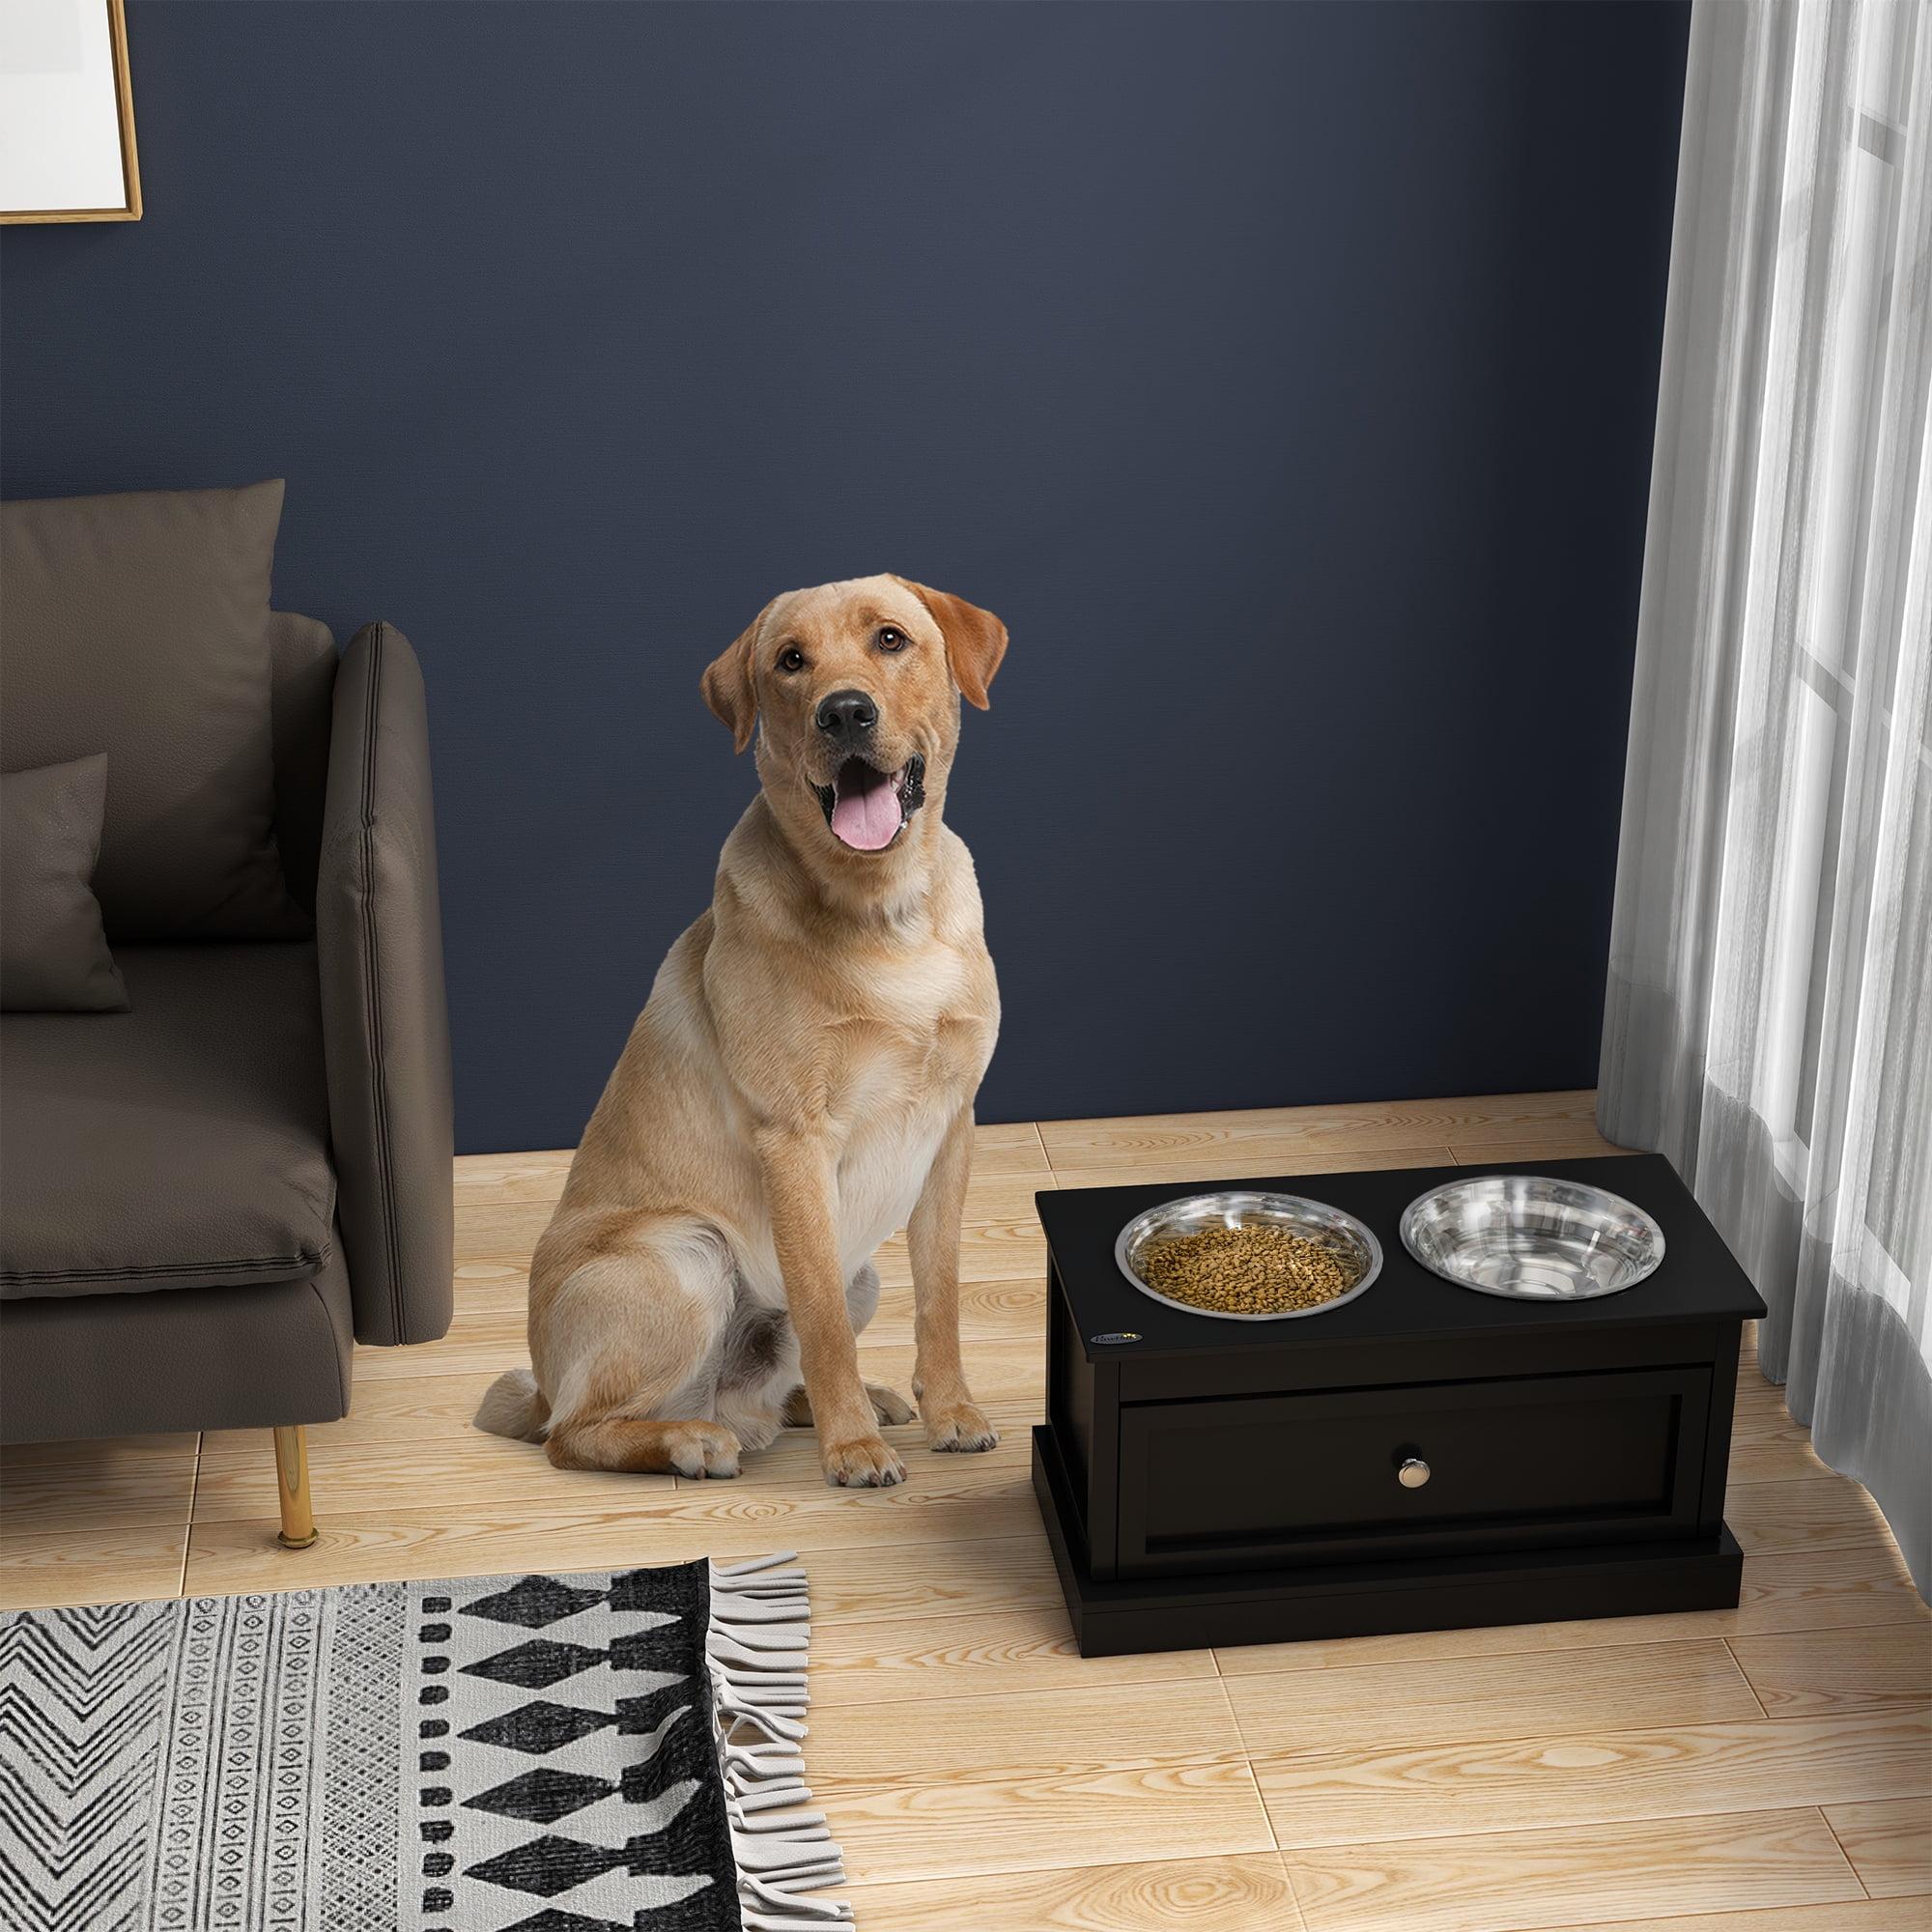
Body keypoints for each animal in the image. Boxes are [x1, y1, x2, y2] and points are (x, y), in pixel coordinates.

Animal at [475, 572, 1005, 1476]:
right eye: (791, 661)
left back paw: (824, 1406)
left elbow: (939, 1301)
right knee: (574, 1436)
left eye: (890, 639)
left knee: (761, 1390)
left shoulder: (950, 1129)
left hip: (855, 1275)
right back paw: (694, 1440)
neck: (886, 911)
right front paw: (852, 1449)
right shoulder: (795, 1141)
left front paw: (951, 1411)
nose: (844, 713)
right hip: (685, 1256)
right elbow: (823, 1323)